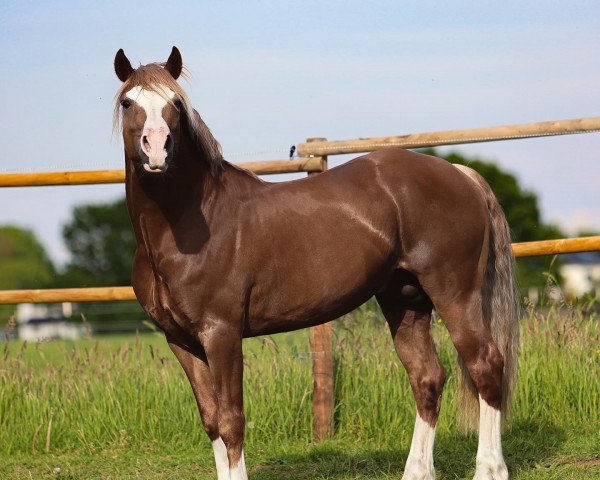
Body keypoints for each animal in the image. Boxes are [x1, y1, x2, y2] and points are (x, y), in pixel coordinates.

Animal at [113, 46, 520, 480]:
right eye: (128, 102)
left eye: (175, 103)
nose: (156, 149)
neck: (189, 223)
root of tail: (462, 174)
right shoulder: (181, 341)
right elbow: (211, 422)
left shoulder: (221, 333)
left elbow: (231, 421)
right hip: (406, 299)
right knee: (427, 378)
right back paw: (417, 470)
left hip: (455, 295)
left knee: (485, 366)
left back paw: (490, 468)